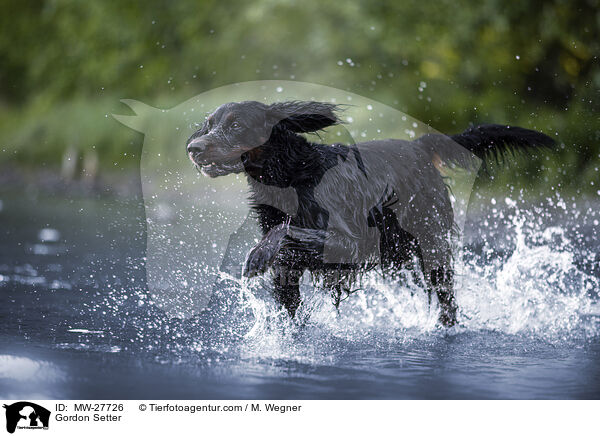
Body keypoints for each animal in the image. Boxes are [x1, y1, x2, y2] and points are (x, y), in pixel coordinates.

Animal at [186, 100, 552, 326]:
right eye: (209, 124)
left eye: (236, 125)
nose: (193, 148)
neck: (294, 175)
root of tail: (419, 146)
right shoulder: (293, 267)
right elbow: (289, 293)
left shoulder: (351, 243)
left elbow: (287, 233)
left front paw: (259, 255)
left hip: (431, 243)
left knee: (447, 298)